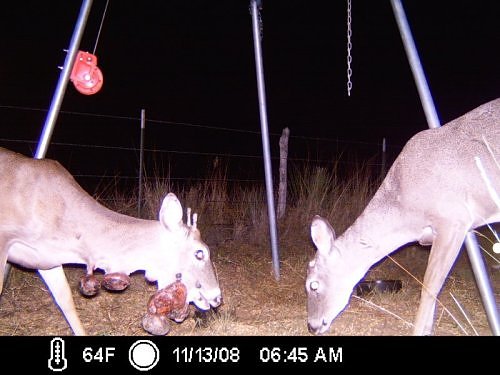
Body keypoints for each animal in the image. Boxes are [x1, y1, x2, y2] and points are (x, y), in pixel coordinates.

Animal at [304, 97, 500, 334]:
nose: (312, 326)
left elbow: (429, 288)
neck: (406, 213)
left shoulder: (453, 220)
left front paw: (419, 331)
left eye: (313, 285)